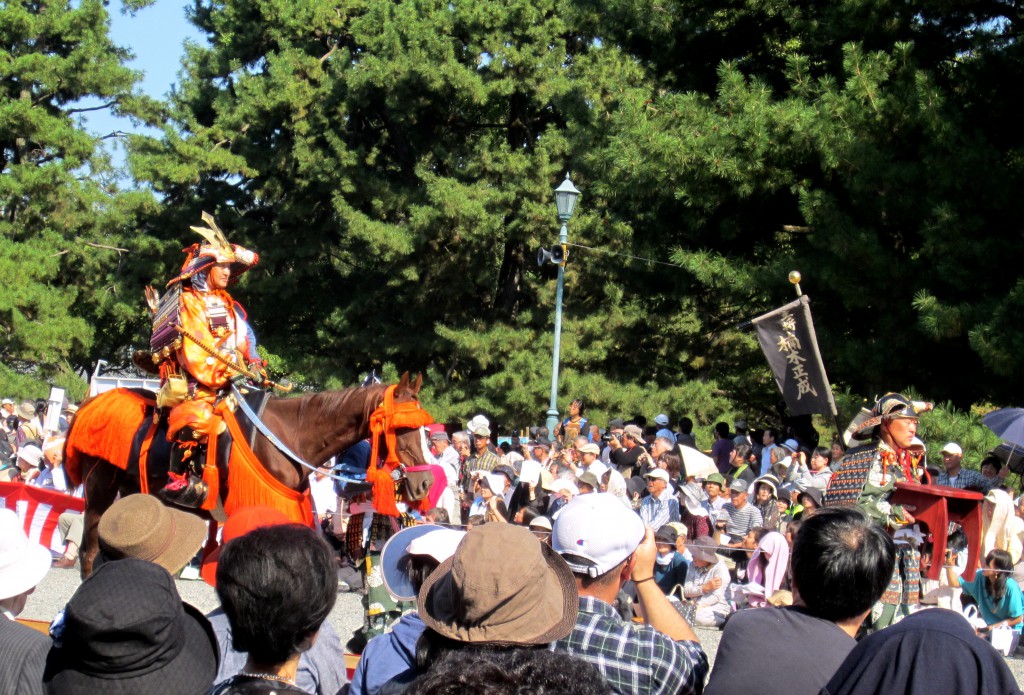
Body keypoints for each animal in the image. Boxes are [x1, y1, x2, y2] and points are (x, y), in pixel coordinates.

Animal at [67, 372, 428, 577]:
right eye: (401, 427)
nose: (424, 483)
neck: (289, 435)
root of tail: (91, 404)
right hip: (99, 490)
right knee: (90, 551)